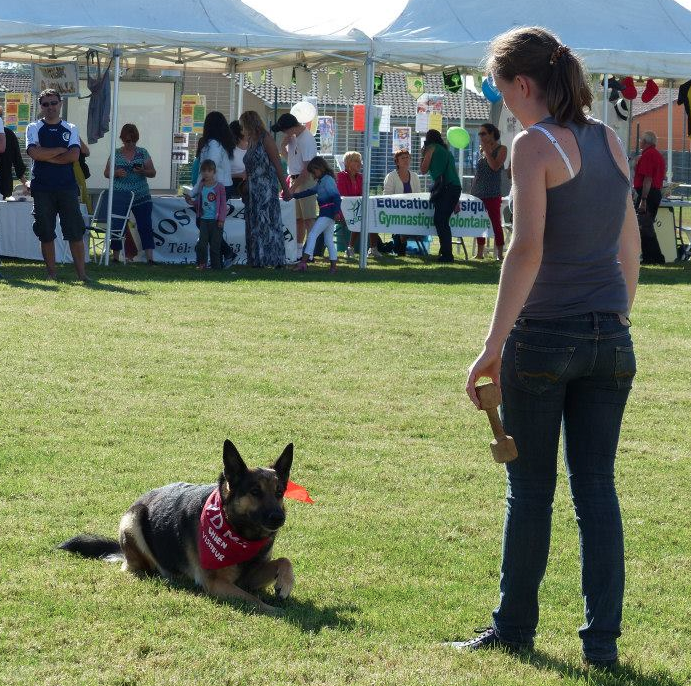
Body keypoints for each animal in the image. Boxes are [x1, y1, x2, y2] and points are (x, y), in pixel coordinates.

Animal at [59, 444, 294, 616]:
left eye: (279, 492)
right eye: (255, 491)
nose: (279, 518)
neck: (240, 532)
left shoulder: (250, 577)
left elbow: (284, 560)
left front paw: (285, 583)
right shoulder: (216, 583)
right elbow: (252, 599)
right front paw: (275, 610)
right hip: (132, 520)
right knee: (138, 568)